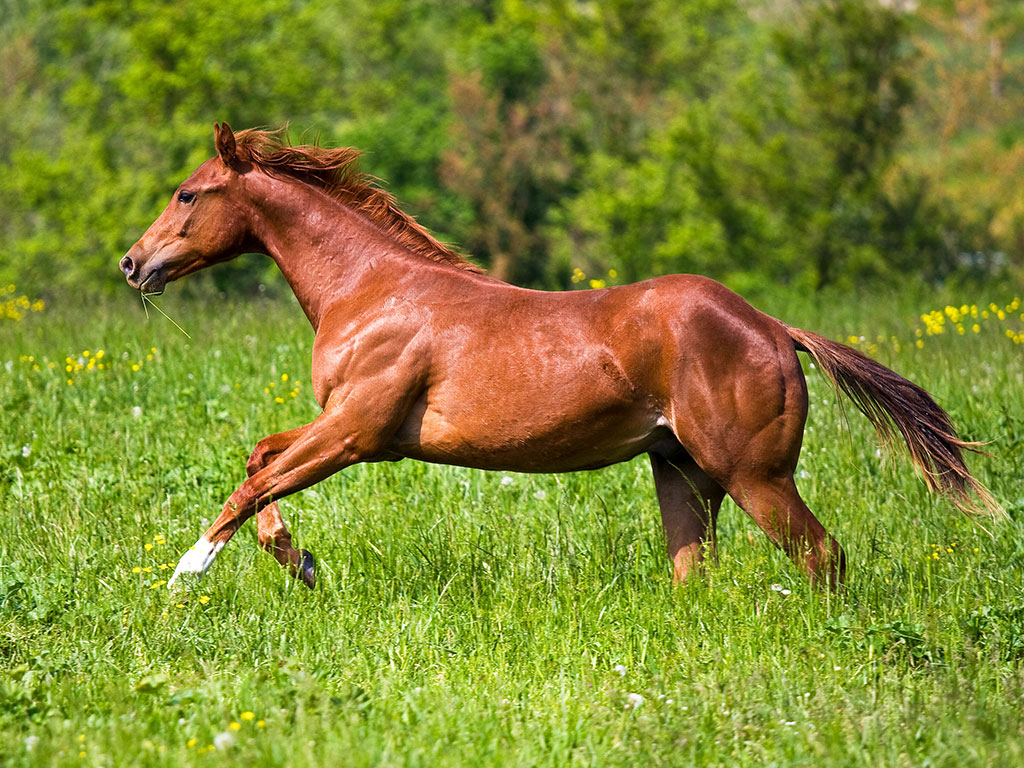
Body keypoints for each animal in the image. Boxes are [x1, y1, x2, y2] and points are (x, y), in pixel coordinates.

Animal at [120, 123, 999, 591]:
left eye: (188, 193)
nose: (133, 264)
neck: (371, 291)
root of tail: (774, 328)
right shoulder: (346, 428)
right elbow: (258, 461)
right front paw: (300, 562)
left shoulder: (358, 432)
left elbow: (253, 481)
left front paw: (186, 574)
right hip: (682, 471)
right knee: (696, 573)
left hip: (753, 474)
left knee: (823, 557)